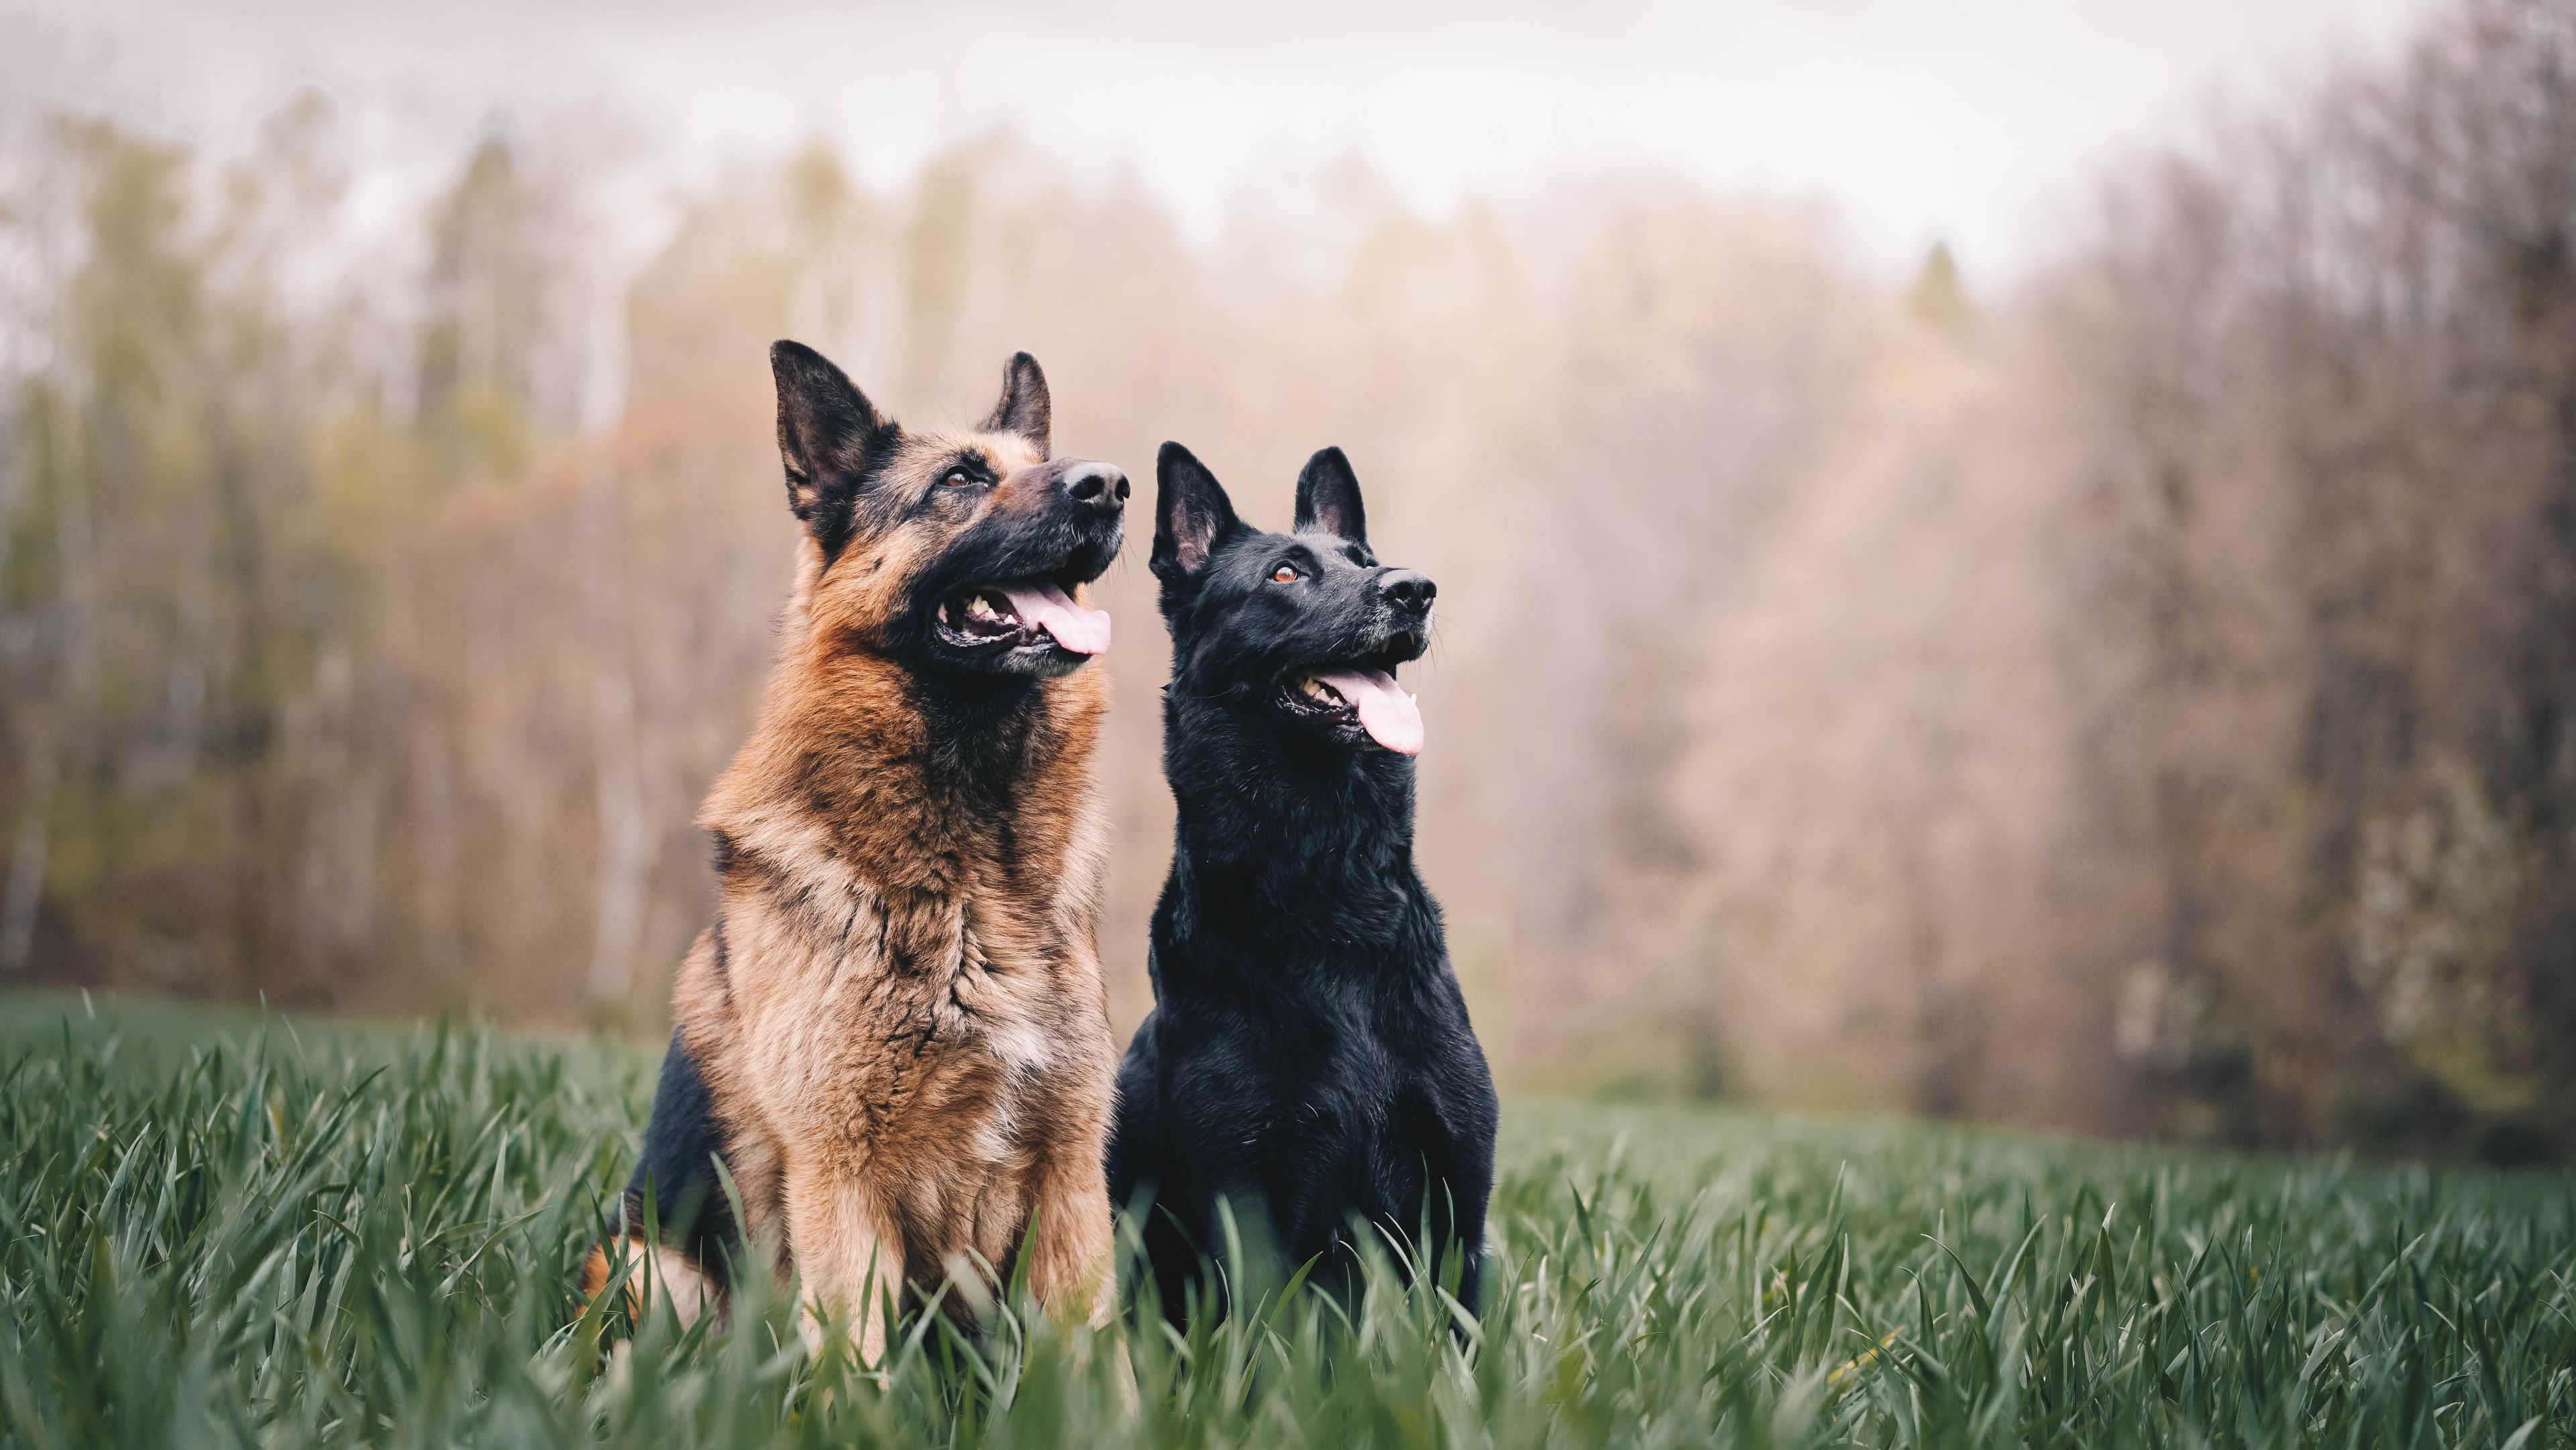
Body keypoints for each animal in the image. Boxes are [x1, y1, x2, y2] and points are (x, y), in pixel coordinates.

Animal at [1102, 448, 1504, 1318]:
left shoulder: (1458, 1208)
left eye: (1366, 560)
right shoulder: (1254, 1209)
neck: (1331, 894)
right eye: (1285, 573)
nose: (1413, 588)